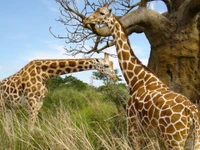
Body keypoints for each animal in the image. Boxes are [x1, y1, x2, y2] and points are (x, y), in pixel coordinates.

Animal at [83, 4, 200, 149]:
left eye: (102, 13)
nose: (86, 20)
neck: (136, 79)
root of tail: (193, 115)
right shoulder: (152, 135)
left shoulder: (133, 127)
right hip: (192, 139)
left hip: (174, 140)